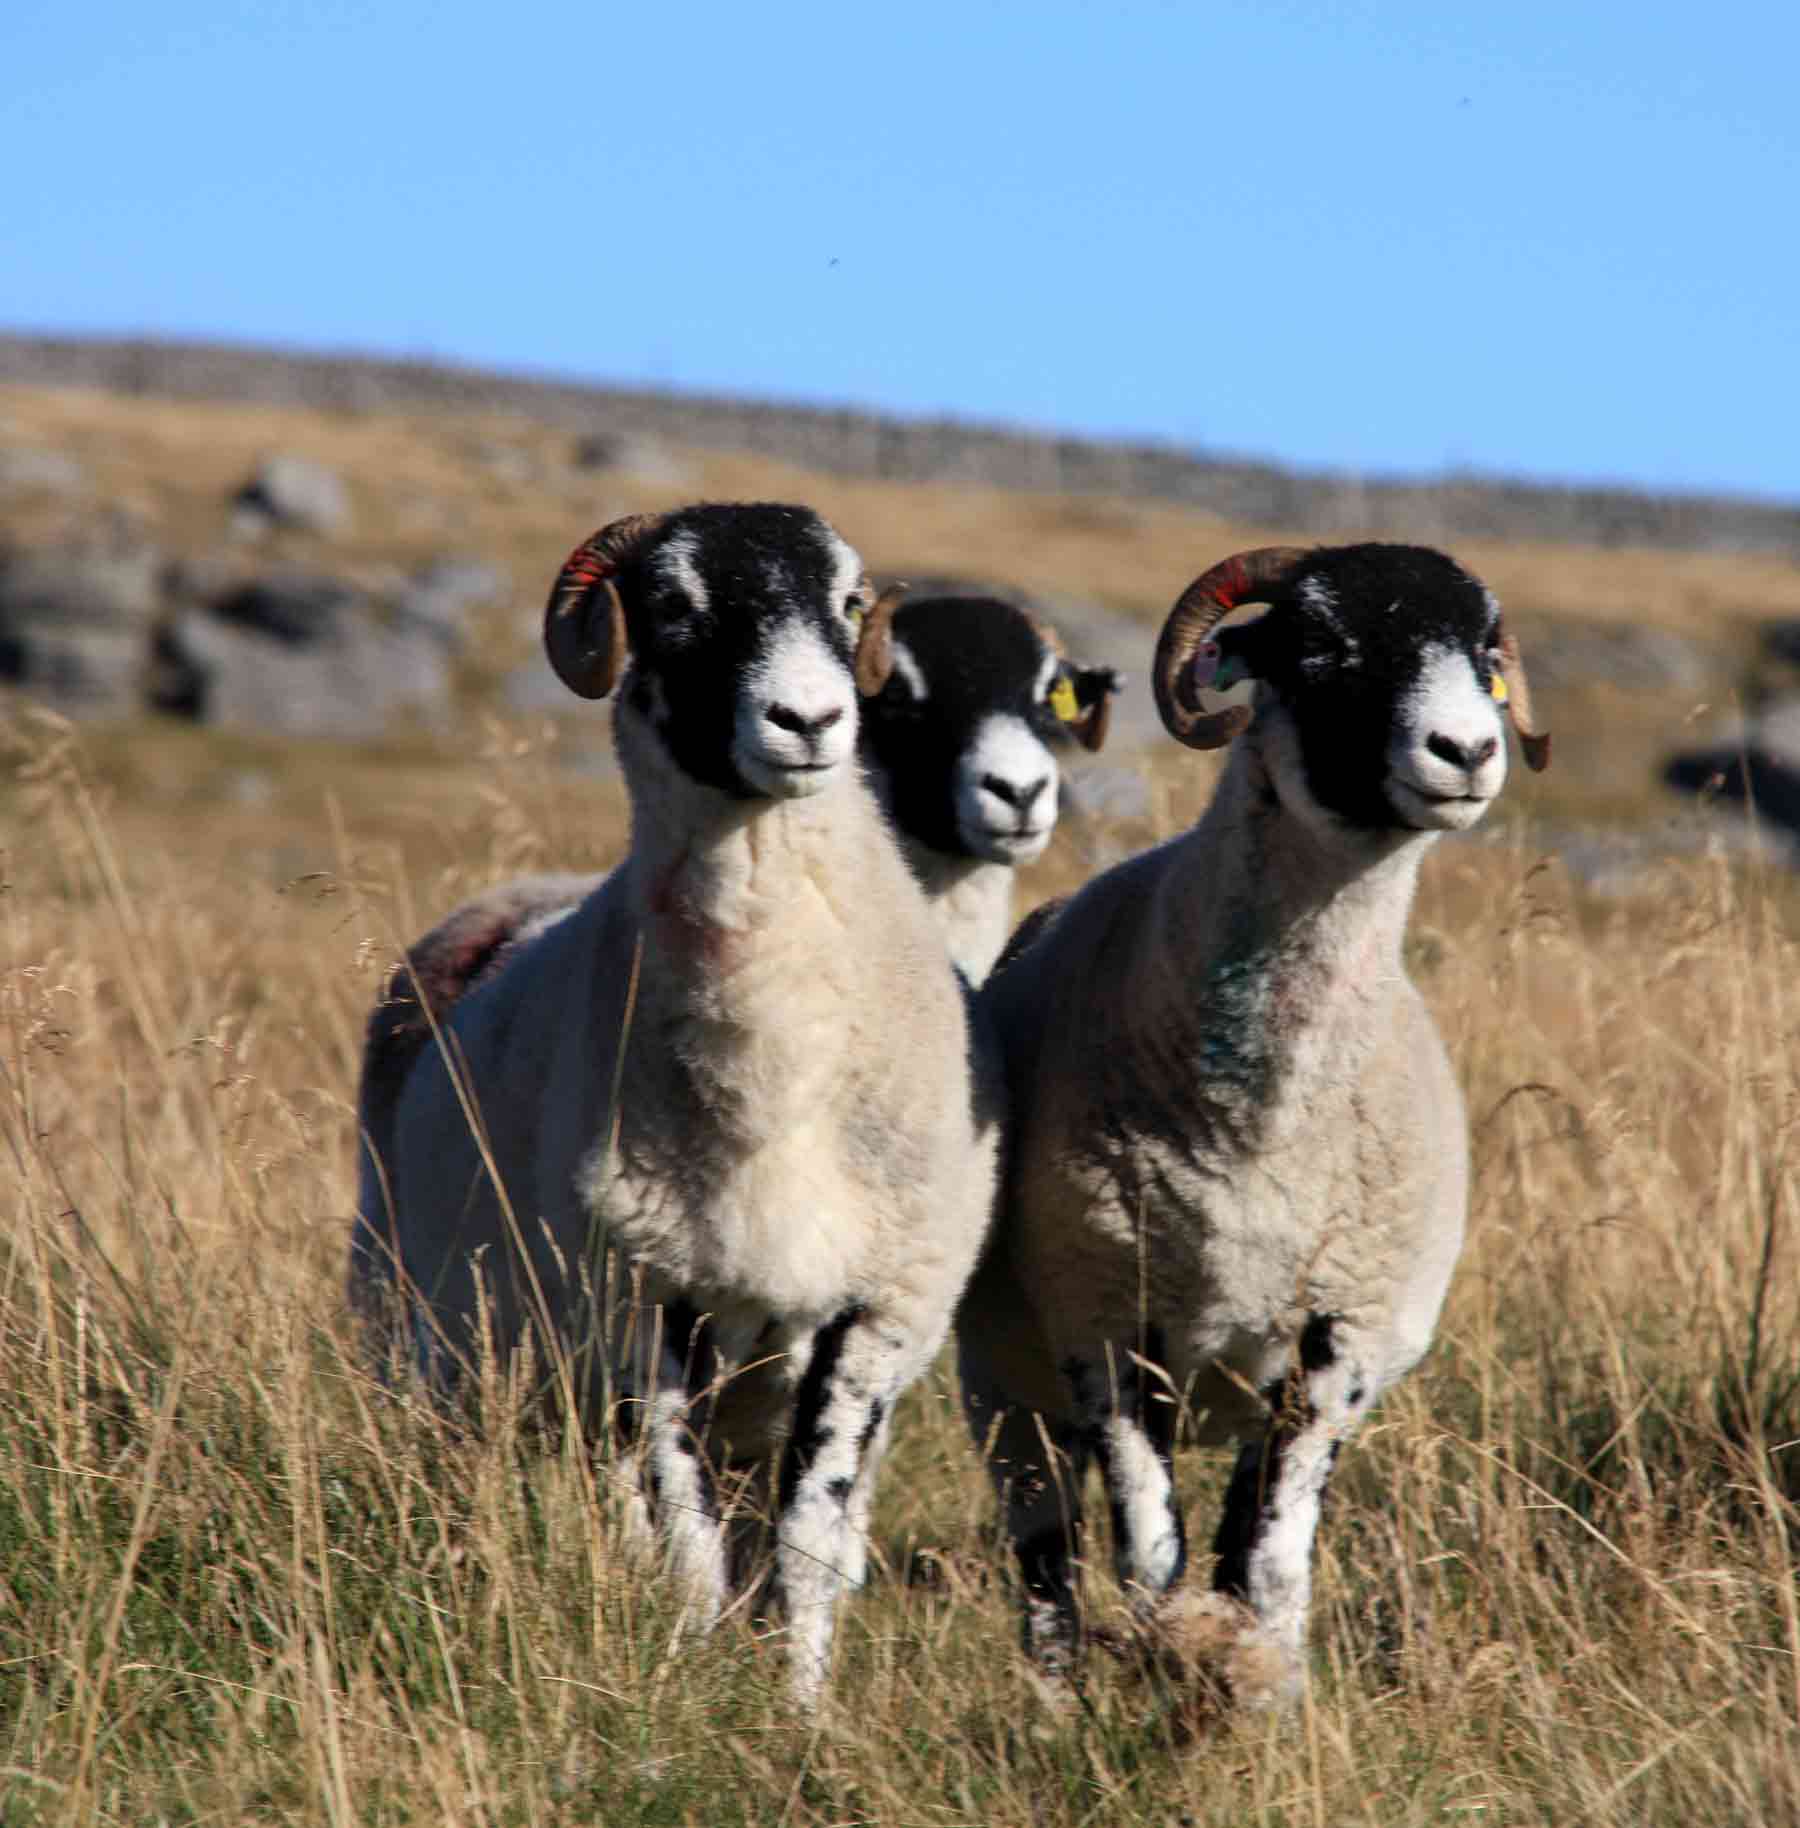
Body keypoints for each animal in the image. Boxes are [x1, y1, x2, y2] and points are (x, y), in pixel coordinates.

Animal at [349, 497, 994, 1696]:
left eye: (847, 601)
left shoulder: (870, 1313)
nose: (810, 720)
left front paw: (796, 1706)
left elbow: (807, 1545)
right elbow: (686, 1540)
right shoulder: (641, 1300)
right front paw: (689, 1684)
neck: (777, 1075)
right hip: (426, 1335)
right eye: (672, 603)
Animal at [957, 533, 1542, 1703]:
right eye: (1322, 646)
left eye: (1482, 656)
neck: (1258, 1123)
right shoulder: (1106, 1315)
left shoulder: (1340, 1340)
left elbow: (1267, 1560)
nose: (1466, 750)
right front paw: (1157, 1670)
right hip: (1005, 1377)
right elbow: (1148, 1553)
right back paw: (1052, 1694)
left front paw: (1264, 1692)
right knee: (1043, 1548)